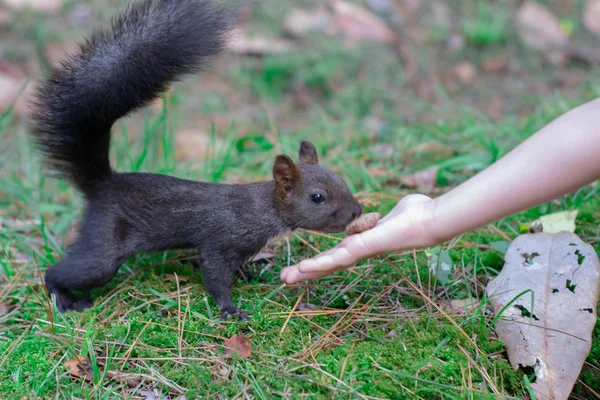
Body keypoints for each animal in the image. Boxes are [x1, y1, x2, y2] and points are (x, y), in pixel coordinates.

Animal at [28, 0, 360, 318]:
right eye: (317, 197)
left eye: (342, 180)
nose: (357, 211)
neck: (264, 207)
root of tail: (101, 183)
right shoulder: (220, 240)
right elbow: (215, 273)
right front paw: (230, 309)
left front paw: (251, 274)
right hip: (104, 246)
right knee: (64, 271)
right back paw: (64, 299)